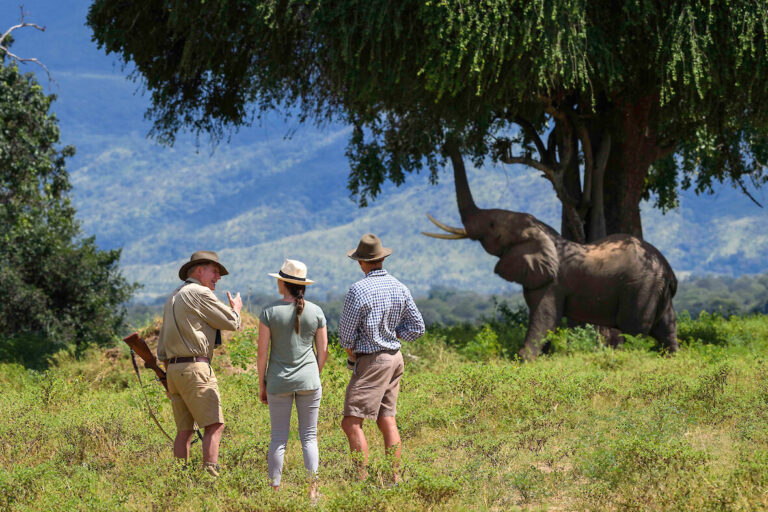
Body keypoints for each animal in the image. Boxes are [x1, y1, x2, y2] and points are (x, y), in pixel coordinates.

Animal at [423, 147, 679, 360]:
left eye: (493, 225)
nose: (449, 140)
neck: (542, 233)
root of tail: (669, 272)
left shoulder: (552, 283)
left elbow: (545, 318)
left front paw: (522, 360)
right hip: (656, 290)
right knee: (666, 326)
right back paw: (671, 356)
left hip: (640, 288)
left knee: (633, 330)